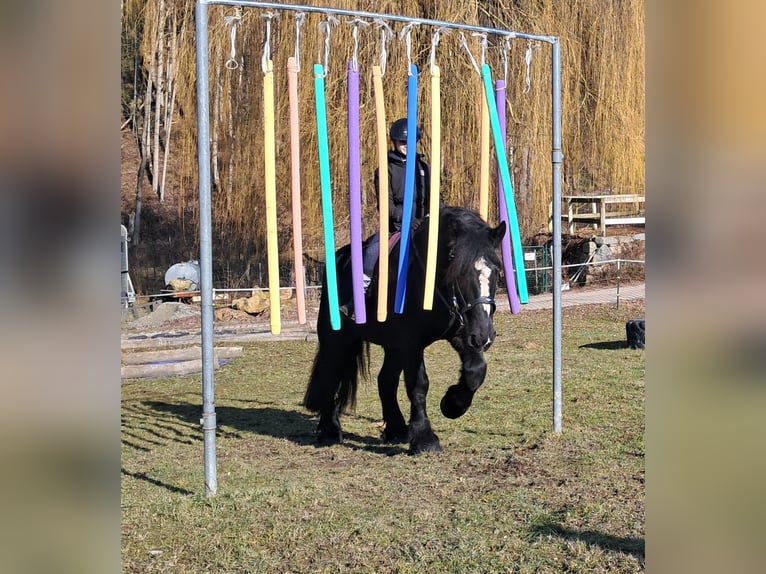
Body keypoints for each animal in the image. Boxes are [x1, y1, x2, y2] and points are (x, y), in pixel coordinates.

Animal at [304, 207, 508, 454]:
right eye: (458, 271)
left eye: (496, 271)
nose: (484, 335)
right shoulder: (412, 343)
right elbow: (419, 386)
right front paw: (425, 439)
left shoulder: (462, 333)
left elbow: (476, 371)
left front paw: (452, 404)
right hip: (338, 338)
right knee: (329, 374)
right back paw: (330, 431)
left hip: (393, 346)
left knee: (385, 380)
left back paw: (397, 429)